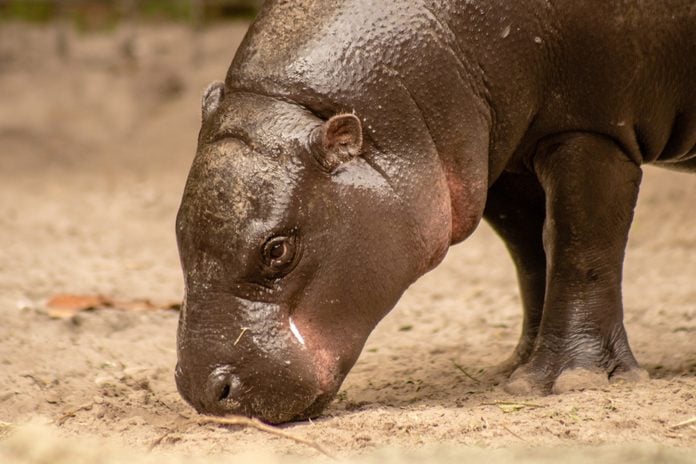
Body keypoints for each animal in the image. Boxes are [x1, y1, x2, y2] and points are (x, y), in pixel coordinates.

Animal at [174, 0, 696, 422]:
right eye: (176, 232)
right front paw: (517, 369)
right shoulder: (495, 161)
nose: (202, 391)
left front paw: (570, 380)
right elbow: (533, 256)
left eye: (278, 249)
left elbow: (580, 251)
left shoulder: (593, 129)